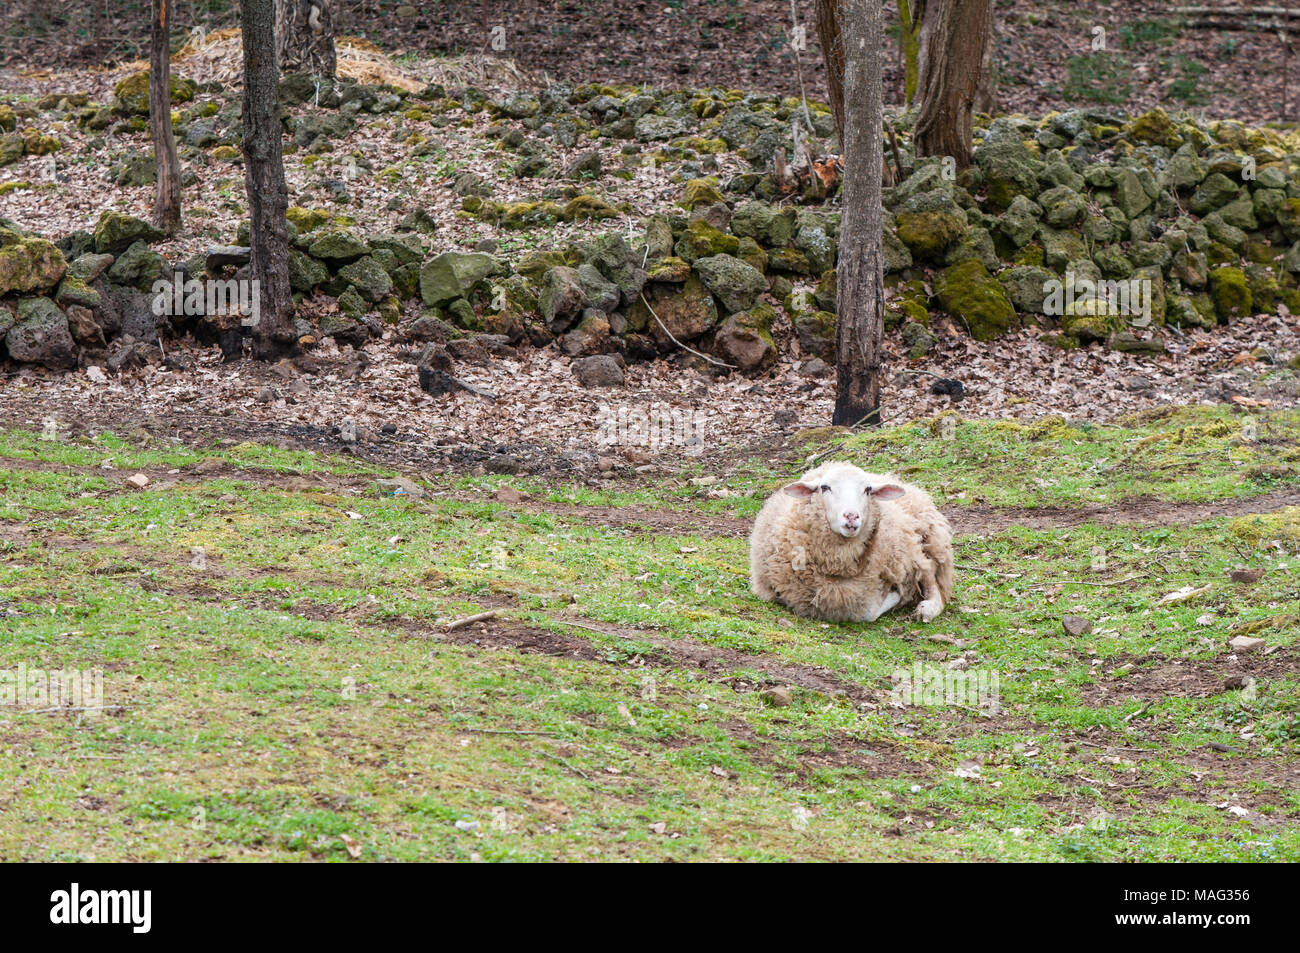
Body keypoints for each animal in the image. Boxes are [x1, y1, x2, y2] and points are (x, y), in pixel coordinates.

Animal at [748, 460, 951, 624]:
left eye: (868, 490)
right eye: (825, 487)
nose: (852, 516)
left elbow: (868, 611)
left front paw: (899, 595)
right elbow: (867, 611)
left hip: (919, 546)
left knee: (931, 577)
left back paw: (926, 609)